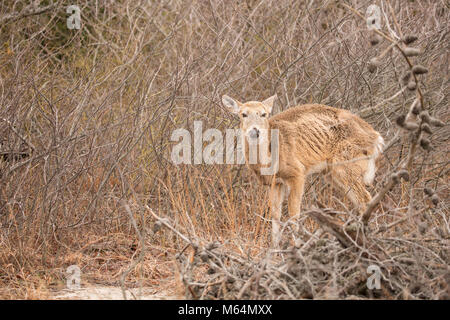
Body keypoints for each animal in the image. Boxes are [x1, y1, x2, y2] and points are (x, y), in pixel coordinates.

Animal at [221, 93, 384, 245]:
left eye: (263, 114)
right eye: (243, 114)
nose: (255, 131)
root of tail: (377, 137)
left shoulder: (297, 173)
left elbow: (294, 213)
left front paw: (297, 245)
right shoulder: (275, 182)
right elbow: (275, 215)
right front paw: (274, 248)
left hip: (346, 164)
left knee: (365, 198)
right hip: (333, 173)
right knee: (361, 201)